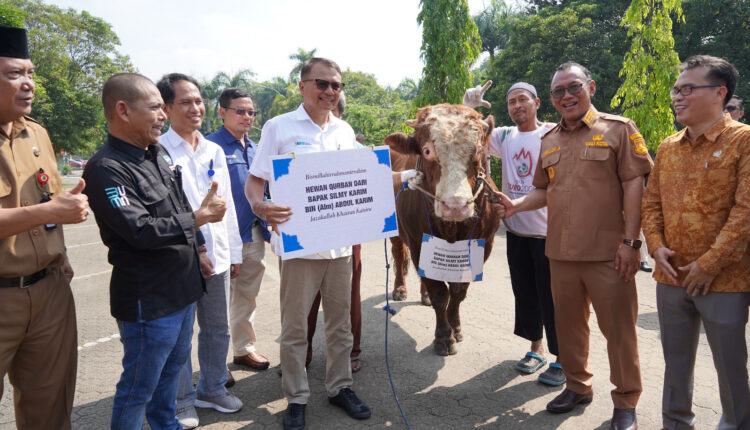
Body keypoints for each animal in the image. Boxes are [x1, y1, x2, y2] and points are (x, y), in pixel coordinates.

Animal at [384, 104, 502, 356]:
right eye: (427, 150)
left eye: (479, 149)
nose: (455, 205)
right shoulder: (418, 241)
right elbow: (440, 292)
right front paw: (444, 337)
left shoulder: (483, 244)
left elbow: (458, 291)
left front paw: (455, 327)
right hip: (398, 233)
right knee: (399, 255)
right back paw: (400, 288)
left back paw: (424, 296)